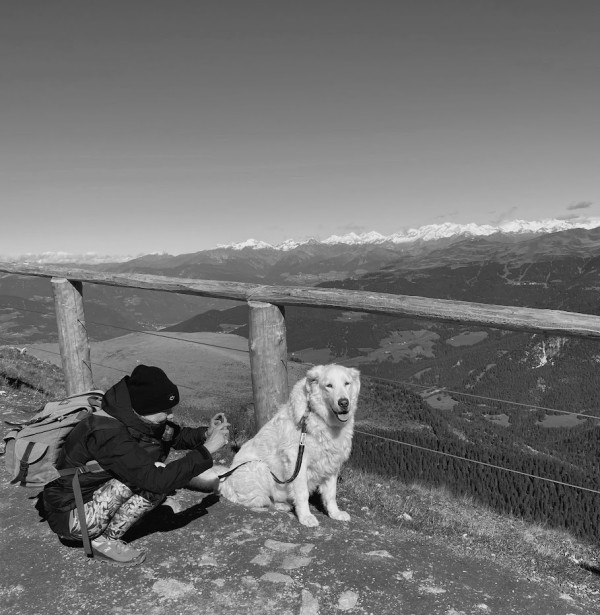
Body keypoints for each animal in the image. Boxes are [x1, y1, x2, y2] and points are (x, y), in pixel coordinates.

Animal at [219, 364, 360, 528]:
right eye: (329, 385)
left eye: (347, 383)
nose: (344, 403)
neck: (318, 417)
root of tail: (225, 482)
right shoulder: (297, 460)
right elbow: (302, 493)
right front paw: (306, 516)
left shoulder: (331, 462)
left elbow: (331, 494)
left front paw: (335, 513)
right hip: (259, 466)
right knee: (259, 499)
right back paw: (280, 505)